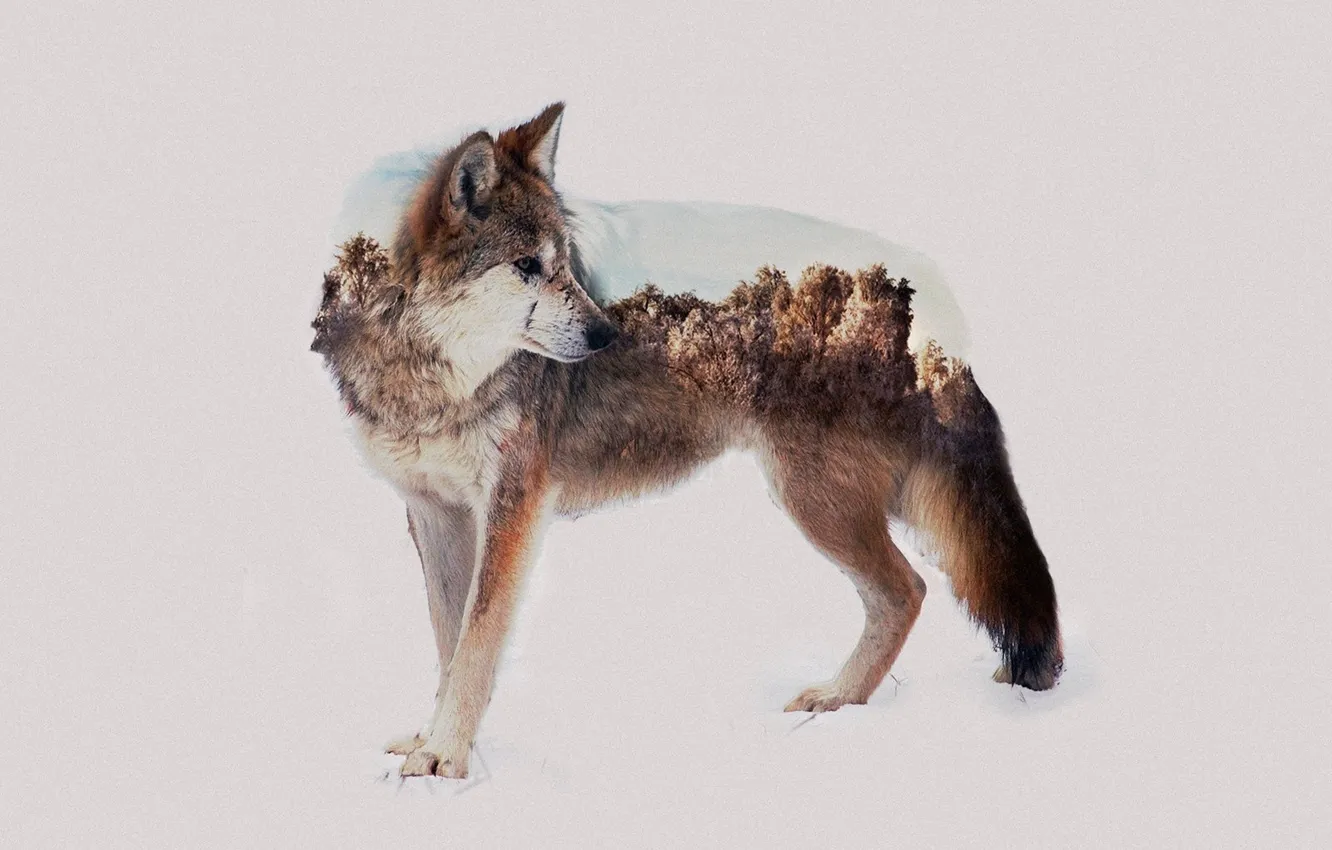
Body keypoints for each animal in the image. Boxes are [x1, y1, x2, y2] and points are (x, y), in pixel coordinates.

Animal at [313, 103, 1062, 779]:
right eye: (527, 266)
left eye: (564, 265)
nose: (607, 335)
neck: (428, 383)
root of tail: (926, 312)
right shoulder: (433, 512)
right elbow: (450, 641)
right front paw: (434, 740)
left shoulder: (512, 508)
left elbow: (477, 642)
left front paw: (446, 758)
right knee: (909, 591)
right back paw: (842, 699)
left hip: (815, 500)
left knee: (909, 589)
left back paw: (837, 698)